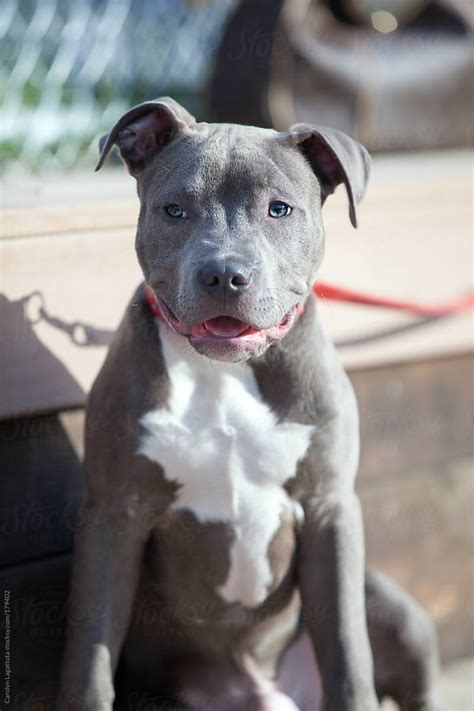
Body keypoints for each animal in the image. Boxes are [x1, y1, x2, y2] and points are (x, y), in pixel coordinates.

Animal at [59, 96, 440, 711]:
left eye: (278, 209)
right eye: (174, 210)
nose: (223, 273)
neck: (223, 371)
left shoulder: (330, 510)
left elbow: (347, 649)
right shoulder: (114, 514)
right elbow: (89, 653)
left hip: (396, 610)